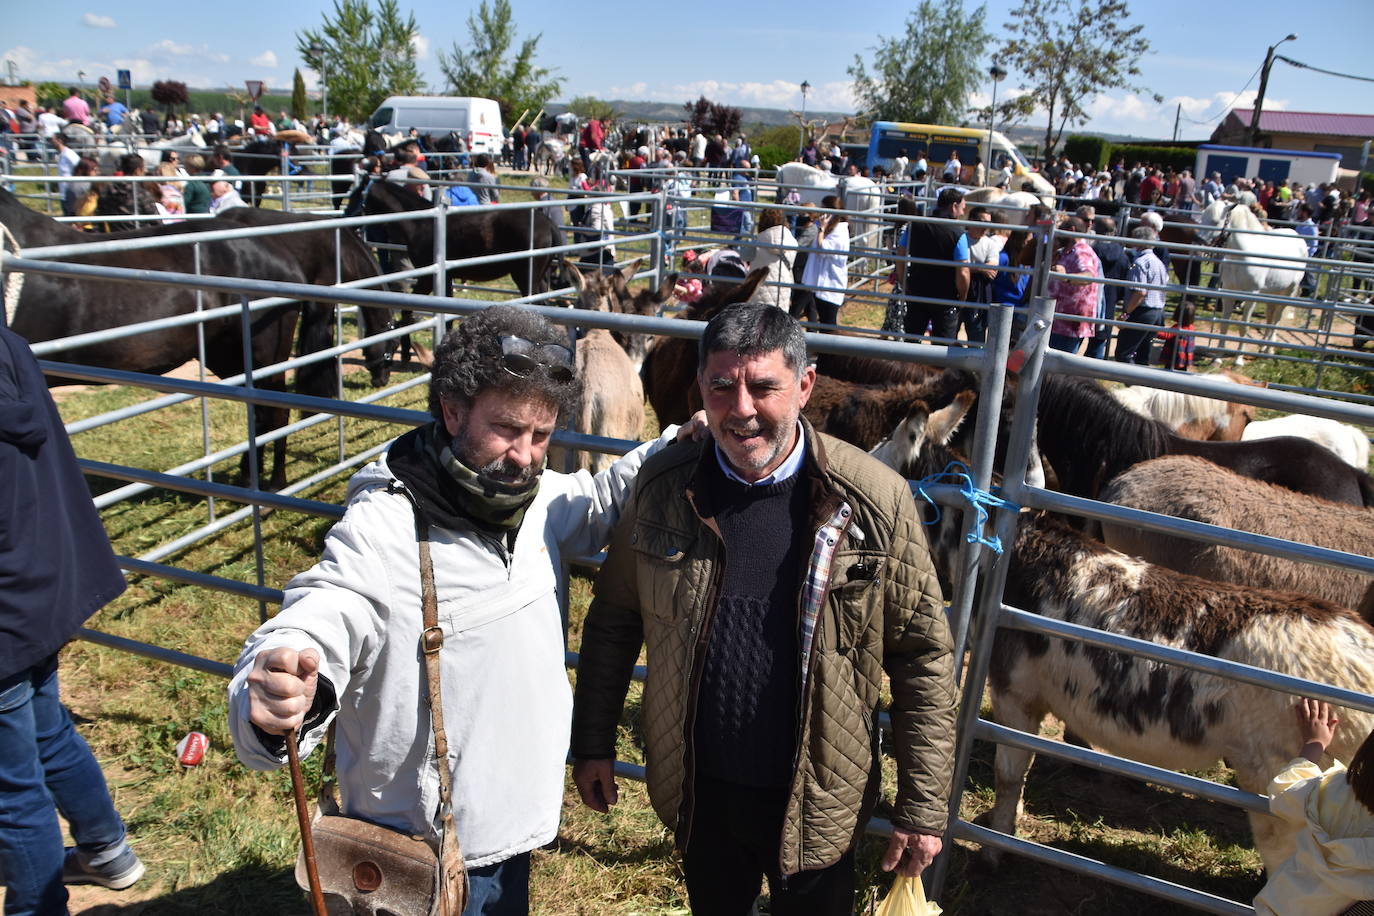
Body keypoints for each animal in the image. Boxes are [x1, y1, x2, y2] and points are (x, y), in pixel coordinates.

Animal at [2, 184, 354, 491]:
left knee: (275, 413)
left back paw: (275, 482)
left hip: (262, 354)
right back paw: (248, 477)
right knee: (259, 414)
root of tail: (287, 261)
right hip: (228, 357)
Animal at [1198, 199, 1302, 362]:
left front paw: (1239, 359)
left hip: (1288, 293)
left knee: (1276, 320)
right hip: (1272, 294)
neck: (1241, 257)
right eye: (1202, 218)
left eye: (1215, 221)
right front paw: (1218, 358)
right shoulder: (1228, 292)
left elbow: (1244, 326)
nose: (1198, 244)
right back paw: (1262, 348)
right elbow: (1224, 325)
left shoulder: (1251, 295)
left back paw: (1269, 351)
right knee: (1270, 317)